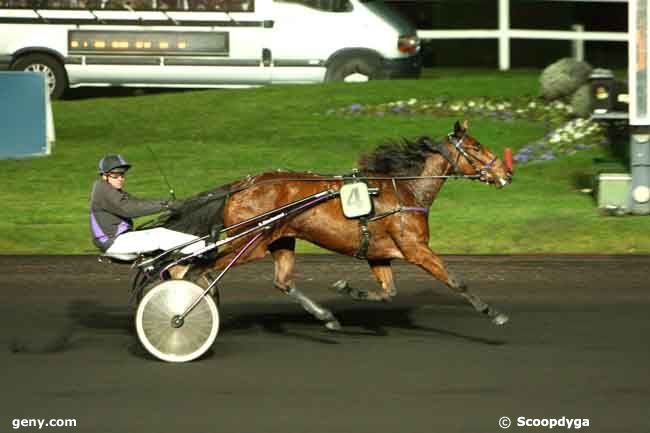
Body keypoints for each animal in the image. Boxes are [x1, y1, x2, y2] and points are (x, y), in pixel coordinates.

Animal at [167, 120, 512, 330]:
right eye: (476, 147)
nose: (506, 173)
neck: (404, 191)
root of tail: (242, 184)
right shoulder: (416, 249)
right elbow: (456, 281)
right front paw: (493, 313)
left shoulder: (379, 254)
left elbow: (388, 292)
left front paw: (347, 288)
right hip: (249, 243)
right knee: (198, 269)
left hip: (281, 238)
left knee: (282, 281)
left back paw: (326, 316)